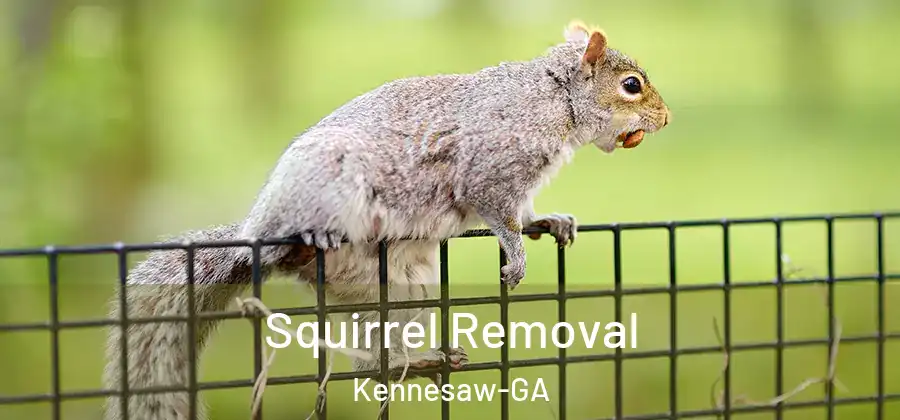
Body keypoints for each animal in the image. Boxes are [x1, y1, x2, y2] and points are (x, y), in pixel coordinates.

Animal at [102, 20, 670, 420]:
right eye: (631, 85)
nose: (665, 120)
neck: (554, 99)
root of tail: (253, 236)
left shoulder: (520, 184)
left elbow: (525, 212)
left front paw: (549, 222)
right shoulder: (489, 168)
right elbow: (498, 214)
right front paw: (516, 256)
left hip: (400, 288)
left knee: (372, 362)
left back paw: (417, 361)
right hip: (327, 187)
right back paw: (309, 239)